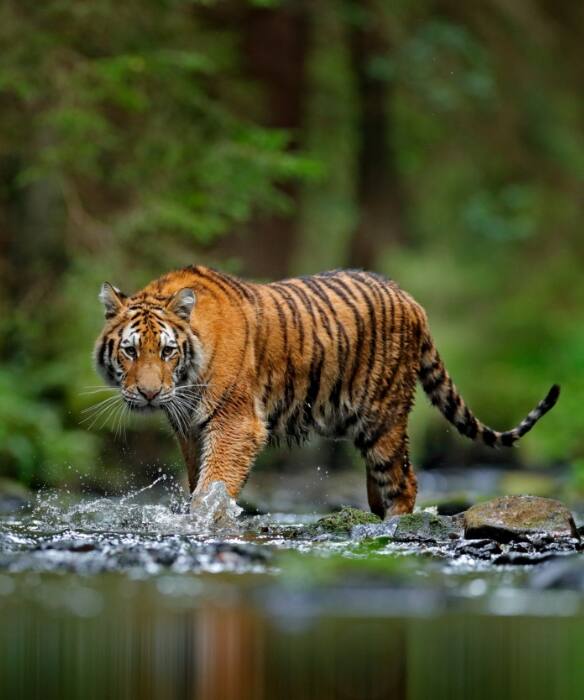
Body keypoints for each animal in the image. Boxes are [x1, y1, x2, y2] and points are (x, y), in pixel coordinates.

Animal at [93, 266, 560, 516]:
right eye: (130, 351)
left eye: (167, 351)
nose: (149, 394)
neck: (186, 380)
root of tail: (411, 300)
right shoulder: (190, 429)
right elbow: (198, 481)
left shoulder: (235, 423)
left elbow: (214, 485)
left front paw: (204, 521)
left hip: (383, 418)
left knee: (404, 480)